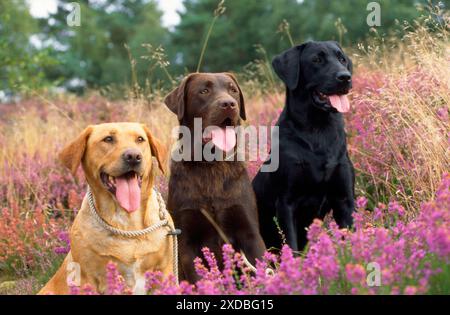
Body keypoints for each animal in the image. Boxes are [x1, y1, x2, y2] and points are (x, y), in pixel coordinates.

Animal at [38, 122, 174, 296]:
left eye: (140, 139)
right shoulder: (87, 278)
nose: (133, 156)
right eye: (108, 139)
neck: (127, 221)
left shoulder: (165, 270)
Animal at [163, 73, 266, 284]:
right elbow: (198, 278)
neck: (211, 165)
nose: (229, 104)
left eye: (233, 90)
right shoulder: (187, 240)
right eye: (204, 91)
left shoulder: (250, 233)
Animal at [253, 42, 356, 253]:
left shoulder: (344, 199)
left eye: (342, 59)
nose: (345, 77)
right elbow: (291, 247)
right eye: (316, 60)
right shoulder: (286, 203)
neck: (318, 128)